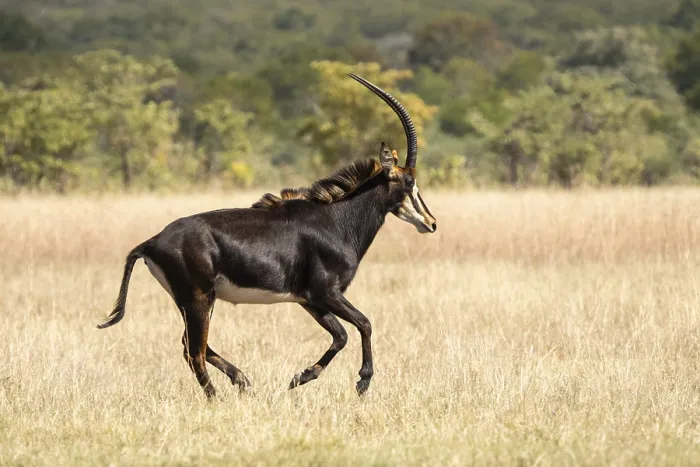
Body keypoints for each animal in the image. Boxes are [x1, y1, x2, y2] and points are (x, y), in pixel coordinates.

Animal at [97, 73, 437, 397]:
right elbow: (365, 323)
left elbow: (340, 335)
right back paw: (218, 398)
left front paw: (301, 377)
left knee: (191, 346)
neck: (335, 219)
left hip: (197, 300)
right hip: (197, 298)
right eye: (409, 182)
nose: (431, 223)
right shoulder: (326, 292)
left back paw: (243, 381)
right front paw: (362, 382)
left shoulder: (308, 299)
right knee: (194, 351)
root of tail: (151, 242)